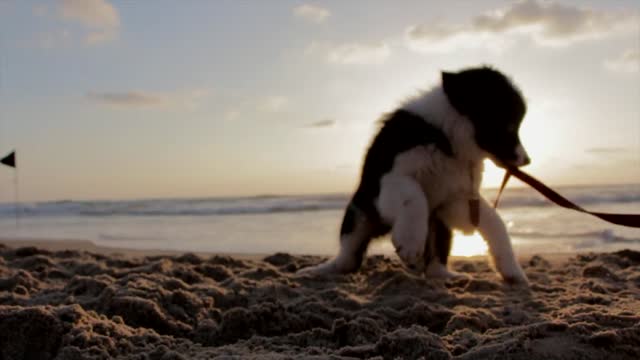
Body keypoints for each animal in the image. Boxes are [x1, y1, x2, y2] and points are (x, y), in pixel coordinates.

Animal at [300, 65, 528, 284]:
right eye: (509, 127)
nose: (527, 160)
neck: (444, 137)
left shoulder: (455, 199)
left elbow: (494, 222)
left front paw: (513, 271)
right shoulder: (393, 176)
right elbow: (414, 196)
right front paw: (409, 243)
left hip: (438, 224)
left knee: (434, 261)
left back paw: (447, 275)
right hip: (359, 212)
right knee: (348, 256)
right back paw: (318, 270)